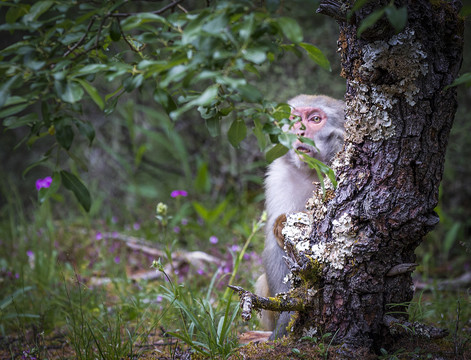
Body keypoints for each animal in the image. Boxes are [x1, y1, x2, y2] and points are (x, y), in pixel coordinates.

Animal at [256, 94, 344, 338]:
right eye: (295, 119)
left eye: (315, 119)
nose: (300, 131)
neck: (311, 171)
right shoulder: (277, 177)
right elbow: (274, 248)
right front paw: (286, 317)